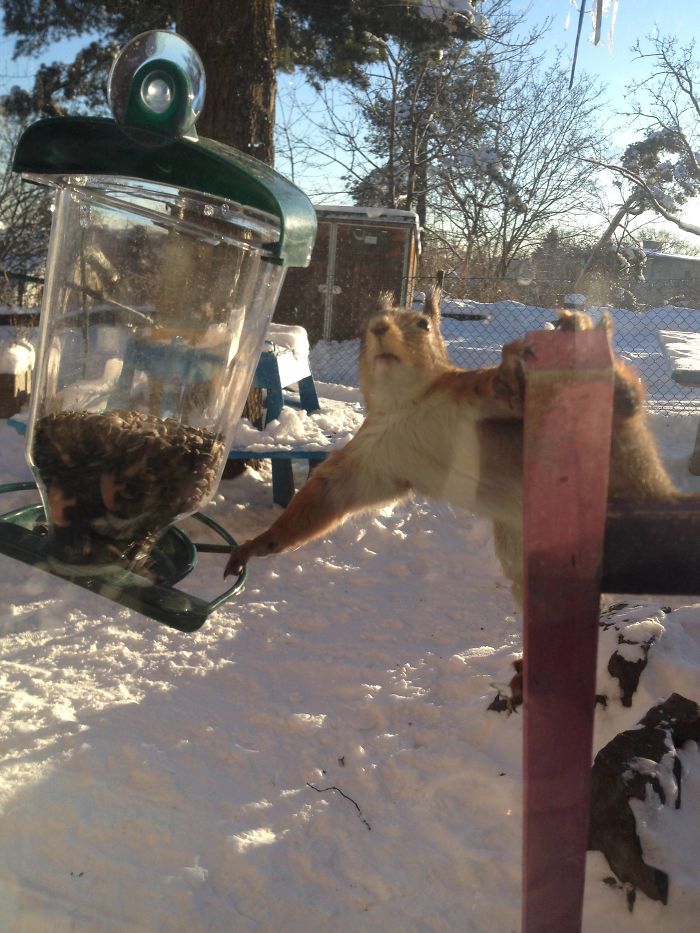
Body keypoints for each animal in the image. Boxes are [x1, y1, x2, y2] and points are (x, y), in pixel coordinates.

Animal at [224, 288, 679, 604]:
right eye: (365, 325)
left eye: (424, 325)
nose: (379, 329)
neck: (406, 404)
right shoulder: (370, 457)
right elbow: (326, 498)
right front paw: (258, 544)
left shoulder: (470, 391)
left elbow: (501, 393)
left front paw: (511, 375)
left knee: (622, 405)